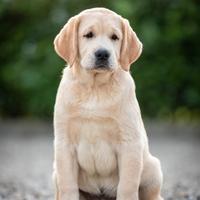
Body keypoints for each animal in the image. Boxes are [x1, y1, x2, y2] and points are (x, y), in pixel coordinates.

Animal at [53, 7, 164, 200]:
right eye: (88, 35)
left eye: (115, 37)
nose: (103, 54)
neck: (94, 89)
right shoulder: (64, 144)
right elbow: (68, 185)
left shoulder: (129, 143)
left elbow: (127, 186)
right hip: (54, 172)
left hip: (153, 168)